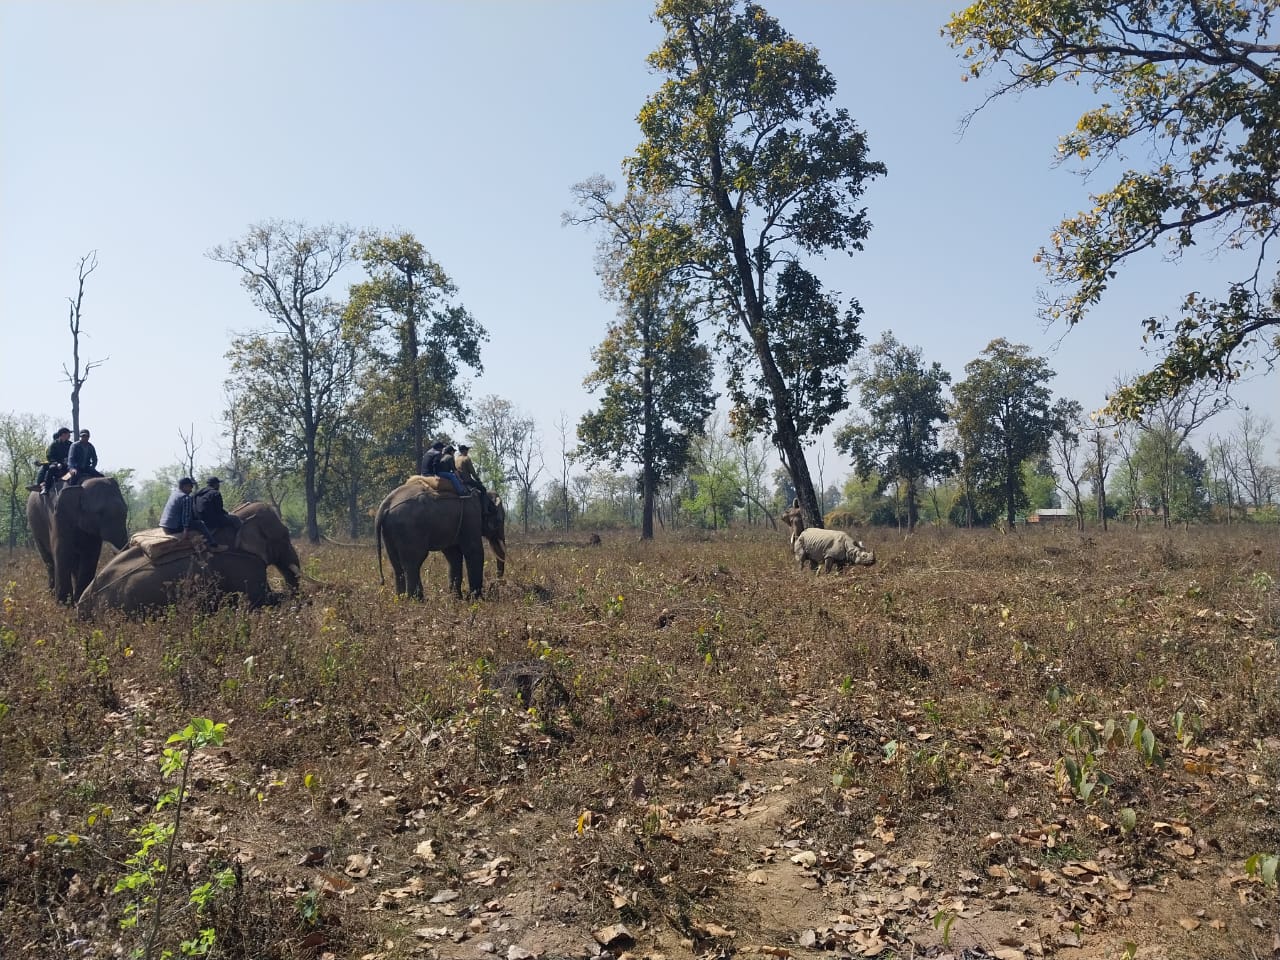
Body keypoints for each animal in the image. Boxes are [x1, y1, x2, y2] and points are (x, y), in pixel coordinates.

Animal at [375, 480, 506, 599]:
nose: (494, 585)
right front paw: (476, 599)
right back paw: (417, 600)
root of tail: (385, 504)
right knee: (413, 562)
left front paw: (457, 599)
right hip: (410, 529)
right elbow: (474, 551)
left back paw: (401, 599)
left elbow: (454, 555)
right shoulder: (471, 516)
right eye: (500, 520)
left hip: (389, 531)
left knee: (397, 565)